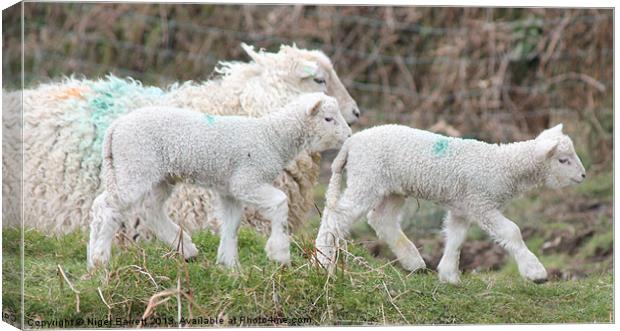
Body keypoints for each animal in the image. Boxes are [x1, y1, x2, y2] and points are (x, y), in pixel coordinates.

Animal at [86, 93, 354, 270]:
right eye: (328, 119)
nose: (350, 135)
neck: (272, 137)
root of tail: (115, 127)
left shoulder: (230, 190)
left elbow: (231, 224)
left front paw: (230, 265)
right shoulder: (247, 179)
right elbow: (280, 201)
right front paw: (279, 253)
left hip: (157, 174)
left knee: (147, 209)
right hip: (136, 166)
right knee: (107, 207)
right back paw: (100, 259)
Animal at [318, 123, 584, 284]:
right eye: (563, 160)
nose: (583, 175)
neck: (502, 165)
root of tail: (351, 144)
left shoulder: (463, 207)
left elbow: (456, 238)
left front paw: (448, 275)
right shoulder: (481, 202)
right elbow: (512, 231)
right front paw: (535, 272)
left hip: (391, 188)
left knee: (381, 219)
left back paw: (413, 262)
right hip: (366, 178)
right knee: (337, 217)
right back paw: (322, 259)